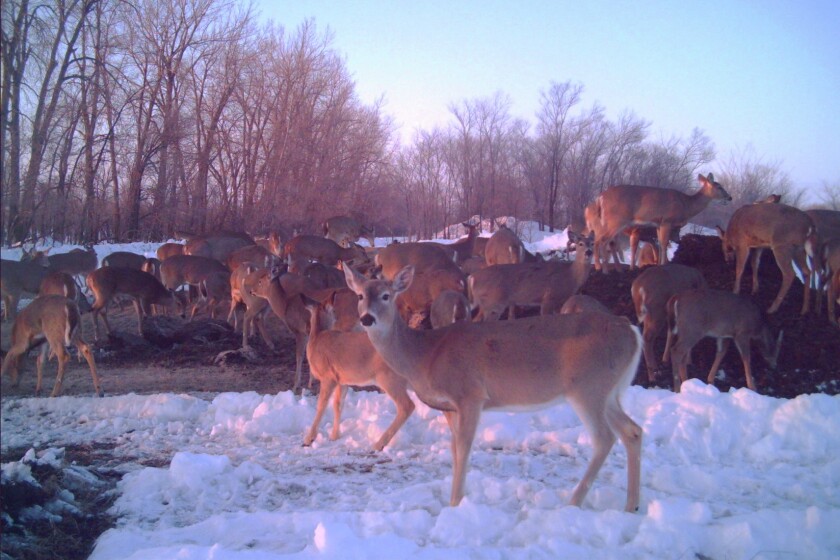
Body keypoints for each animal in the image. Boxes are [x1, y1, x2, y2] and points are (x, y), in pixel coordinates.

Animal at [306, 298, 416, 450]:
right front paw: (334, 436)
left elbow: (321, 405)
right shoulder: (342, 380)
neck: (316, 339)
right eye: (334, 310)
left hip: (388, 377)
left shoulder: (328, 377)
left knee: (407, 406)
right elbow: (338, 404)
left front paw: (309, 439)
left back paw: (378, 445)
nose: (337, 318)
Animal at [342, 262, 644, 512]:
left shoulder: (470, 394)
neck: (424, 355)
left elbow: (464, 447)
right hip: (609, 392)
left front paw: (455, 504)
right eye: (360, 296)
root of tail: (632, 331)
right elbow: (454, 449)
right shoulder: (449, 406)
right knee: (632, 430)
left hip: (588, 388)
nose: (367, 319)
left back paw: (573, 502)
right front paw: (457, 499)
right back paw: (631, 505)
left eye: (386, 295)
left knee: (605, 437)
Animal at [592, 173, 732, 274]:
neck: (686, 205)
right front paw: (665, 265)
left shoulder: (659, 224)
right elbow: (664, 243)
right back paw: (604, 270)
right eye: (719, 187)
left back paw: (604, 267)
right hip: (616, 220)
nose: (730, 197)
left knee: (600, 240)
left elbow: (659, 243)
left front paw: (659, 264)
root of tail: (600, 197)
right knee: (603, 241)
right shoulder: (667, 221)